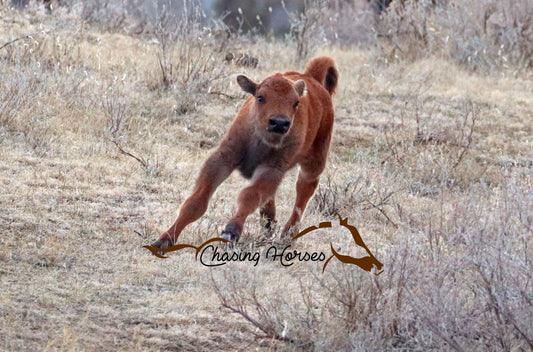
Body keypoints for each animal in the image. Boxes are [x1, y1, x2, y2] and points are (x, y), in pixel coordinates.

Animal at [152, 55, 338, 249]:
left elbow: (249, 196)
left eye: (296, 103)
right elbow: (196, 202)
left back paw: (287, 235)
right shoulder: (224, 158)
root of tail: (312, 78)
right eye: (260, 98)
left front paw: (231, 231)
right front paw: (164, 240)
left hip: (315, 161)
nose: (279, 123)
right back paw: (269, 224)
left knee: (304, 189)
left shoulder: (271, 168)